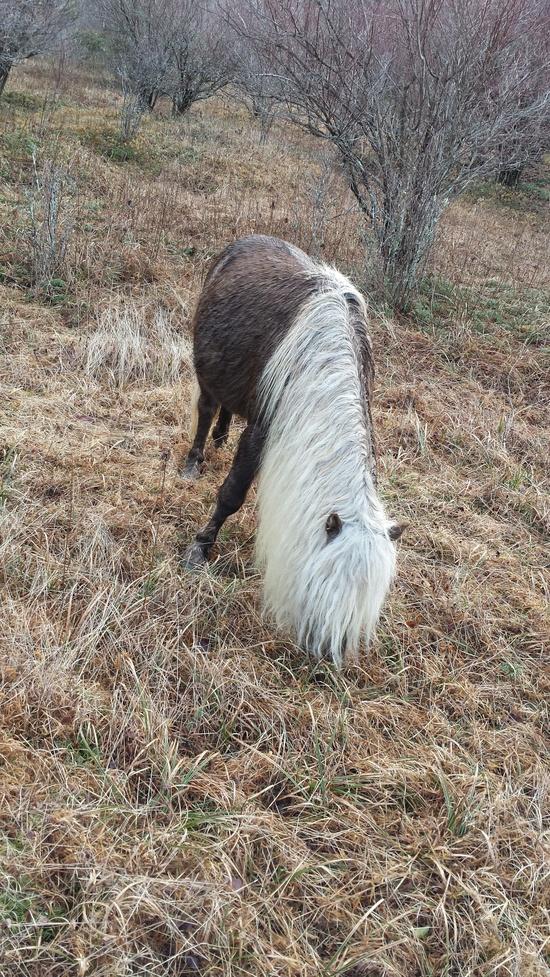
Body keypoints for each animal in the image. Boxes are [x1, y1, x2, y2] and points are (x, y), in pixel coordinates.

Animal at [181, 234, 402, 667]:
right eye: (323, 586)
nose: (325, 658)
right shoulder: (262, 430)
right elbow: (231, 494)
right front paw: (201, 548)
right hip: (208, 370)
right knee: (208, 407)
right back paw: (196, 458)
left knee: (227, 409)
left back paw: (220, 437)